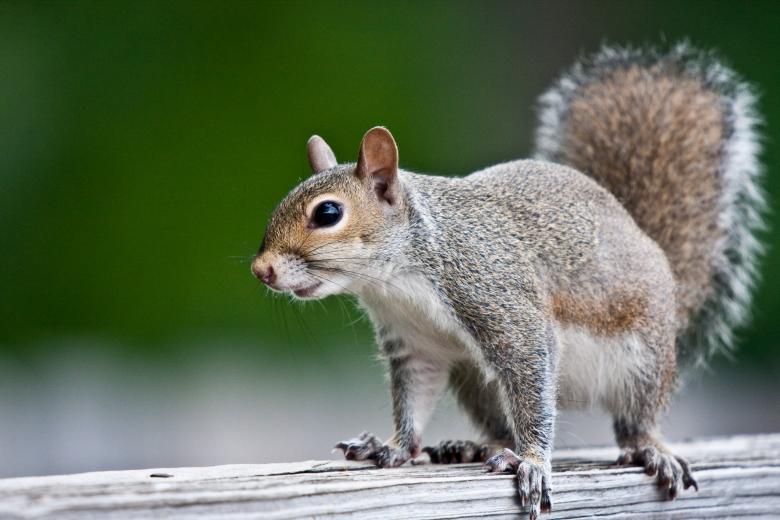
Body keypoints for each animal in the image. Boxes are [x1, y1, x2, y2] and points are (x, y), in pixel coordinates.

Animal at [251, 43, 764, 518]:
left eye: (328, 213)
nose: (261, 270)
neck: (398, 280)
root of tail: (650, 248)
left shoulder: (498, 297)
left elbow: (530, 371)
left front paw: (534, 462)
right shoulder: (416, 342)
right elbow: (415, 394)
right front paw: (395, 447)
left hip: (642, 358)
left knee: (635, 419)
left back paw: (647, 448)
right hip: (476, 381)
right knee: (499, 422)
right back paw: (479, 446)